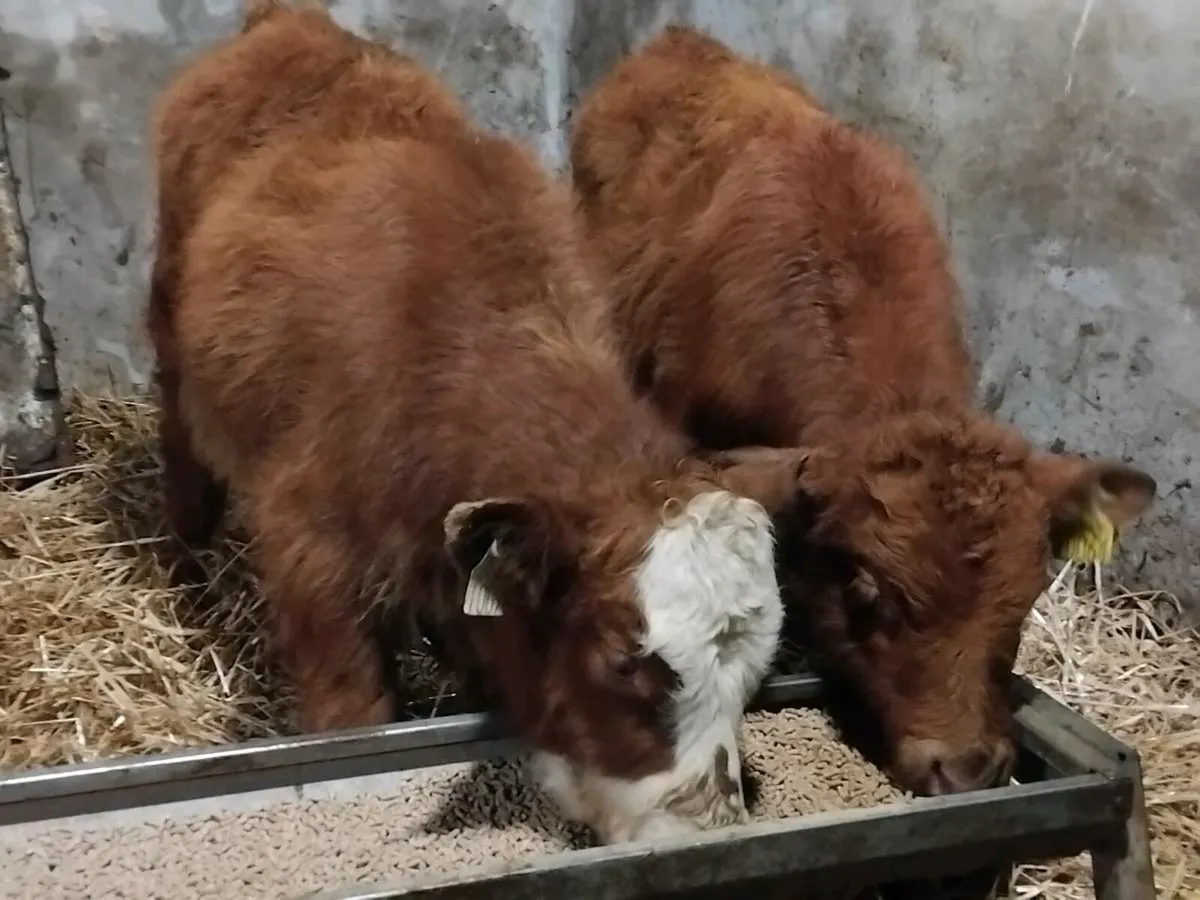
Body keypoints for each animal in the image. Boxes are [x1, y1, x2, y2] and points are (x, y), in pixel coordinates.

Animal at [148, 3, 795, 844]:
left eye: (756, 673)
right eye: (623, 663)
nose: (701, 830)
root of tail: (294, 23)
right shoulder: (310, 554)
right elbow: (351, 712)